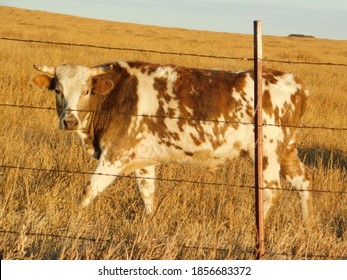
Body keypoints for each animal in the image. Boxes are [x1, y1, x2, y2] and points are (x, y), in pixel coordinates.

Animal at [29, 60, 312, 221]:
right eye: (58, 90)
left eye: (86, 90)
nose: (70, 121)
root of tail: (294, 81)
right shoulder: (142, 158)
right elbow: (147, 192)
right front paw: (149, 223)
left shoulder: (115, 154)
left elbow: (90, 189)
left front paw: (72, 221)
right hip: (286, 149)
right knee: (303, 181)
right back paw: (307, 226)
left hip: (267, 152)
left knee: (271, 190)